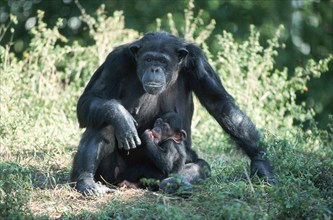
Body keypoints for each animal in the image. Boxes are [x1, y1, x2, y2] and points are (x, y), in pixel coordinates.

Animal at [70, 31, 274, 196]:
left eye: (162, 61)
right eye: (148, 59)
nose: (154, 68)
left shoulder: (198, 62)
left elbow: (219, 103)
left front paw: (261, 163)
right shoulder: (115, 61)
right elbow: (91, 98)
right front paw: (120, 115)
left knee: (201, 166)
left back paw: (175, 183)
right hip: (113, 174)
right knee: (104, 124)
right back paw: (86, 181)